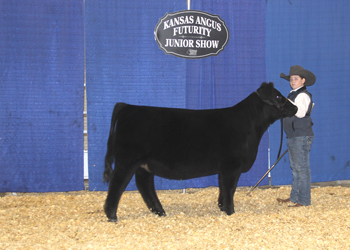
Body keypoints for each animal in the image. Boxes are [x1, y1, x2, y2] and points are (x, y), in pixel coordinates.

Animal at [102, 82, 296, 223]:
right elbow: (230, 188)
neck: (249, 126)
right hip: (127, 160)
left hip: (144, 164)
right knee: (117, 184)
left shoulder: (225, 169)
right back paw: (112, 216)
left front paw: (222, 207)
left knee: (144, 185)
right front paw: (230, 211)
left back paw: (160, 212)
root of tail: (128, 107)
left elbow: (224, 188)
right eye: (277, 96)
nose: (295, 108)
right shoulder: (231, 166)